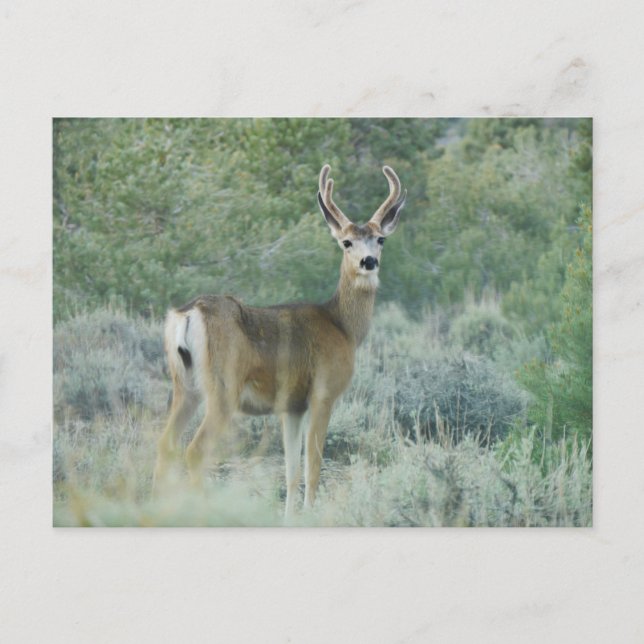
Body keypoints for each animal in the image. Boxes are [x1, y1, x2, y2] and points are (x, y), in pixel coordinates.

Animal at [153, 164, 406, 518]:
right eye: (346, 242)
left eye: (380, 239)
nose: (368, 261)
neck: (343, 326)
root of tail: (188, 313)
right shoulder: (323, 392)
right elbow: (313, 467)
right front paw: (311, 515)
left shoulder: (292, 406)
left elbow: (291, 470)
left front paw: (290, 517)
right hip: (223, 387)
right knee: (194, 450)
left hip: (184, 384)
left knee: (165, 444)